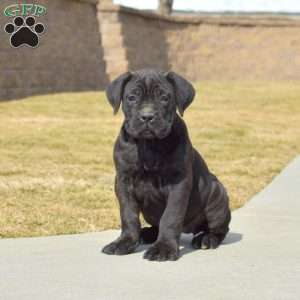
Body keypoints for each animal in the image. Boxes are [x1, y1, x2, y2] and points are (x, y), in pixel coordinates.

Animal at [102, 69, 231, 262]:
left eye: (164, 98)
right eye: (132, 97)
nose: (147, 116)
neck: (149, 145)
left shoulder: (178, 184)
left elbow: (170, 216)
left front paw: (164, 248)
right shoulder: (123, 182)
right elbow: (128, 215)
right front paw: (124, 242)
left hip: (217, 195)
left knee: (220, 228)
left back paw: (206, 238)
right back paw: (146, 234)